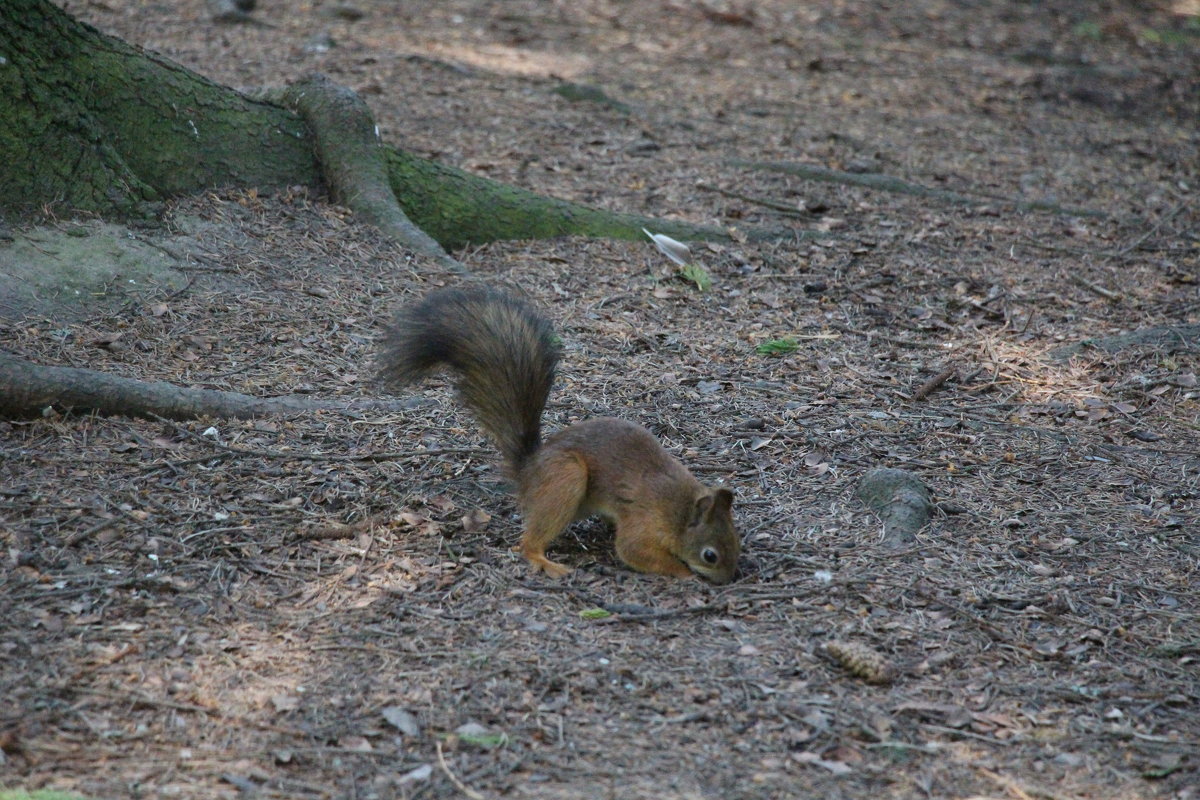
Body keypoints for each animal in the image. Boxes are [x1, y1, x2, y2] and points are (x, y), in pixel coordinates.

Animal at [379, 286, 739, 582]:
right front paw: (684, 572)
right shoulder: (644, 523)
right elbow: (633, 550)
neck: (680, 508)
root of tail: (528, 470)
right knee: (527, 542)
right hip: (565, 479)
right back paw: (544, 561)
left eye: (736, 538)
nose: (729, 578)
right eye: (710, 555)